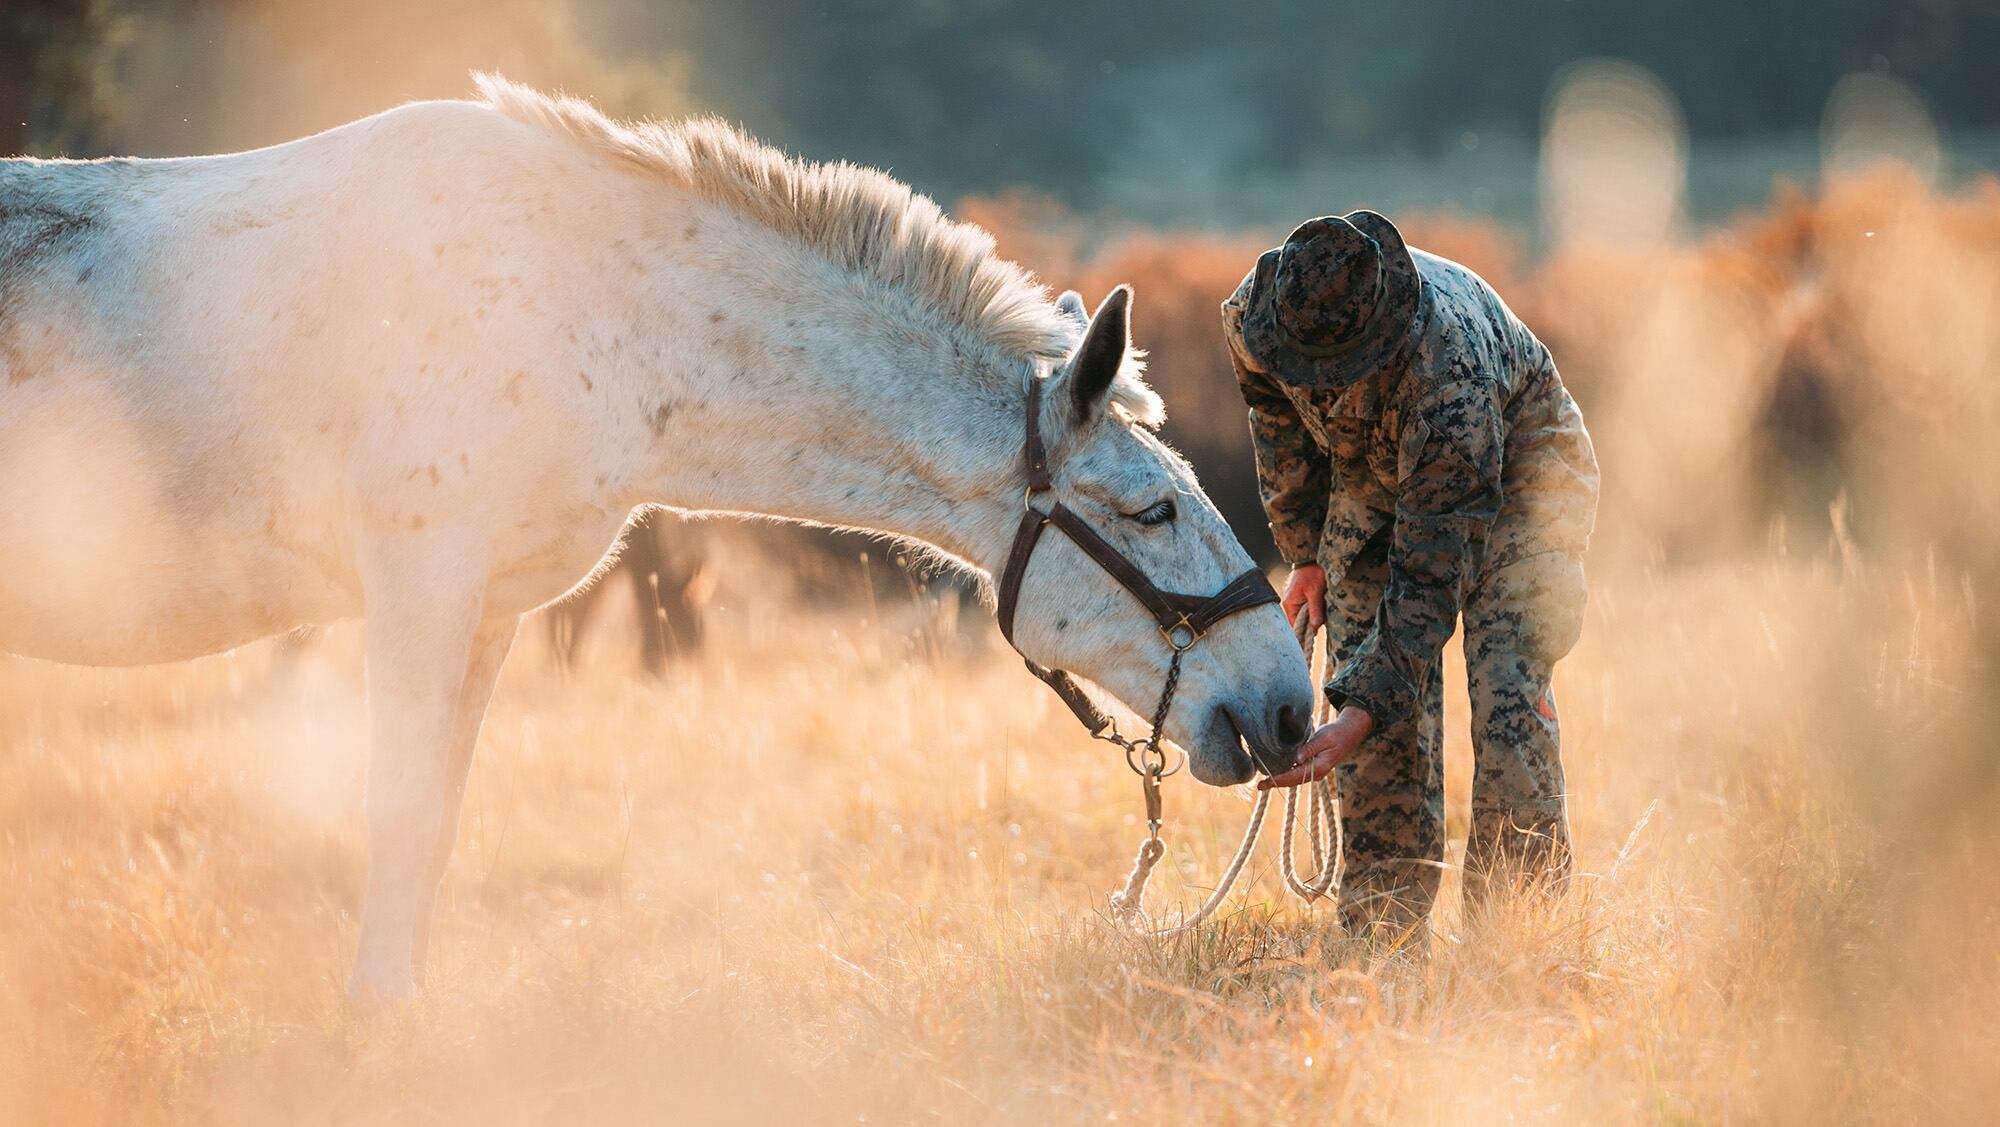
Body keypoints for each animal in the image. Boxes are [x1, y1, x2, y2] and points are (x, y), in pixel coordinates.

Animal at [0, 76, 1320, 995]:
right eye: (1149, 509)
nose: (1286, 705)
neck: (583, 307)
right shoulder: (419, 592)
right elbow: (392, 810)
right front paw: (374, 1016)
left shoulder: (487, 613)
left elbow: (436, 820)